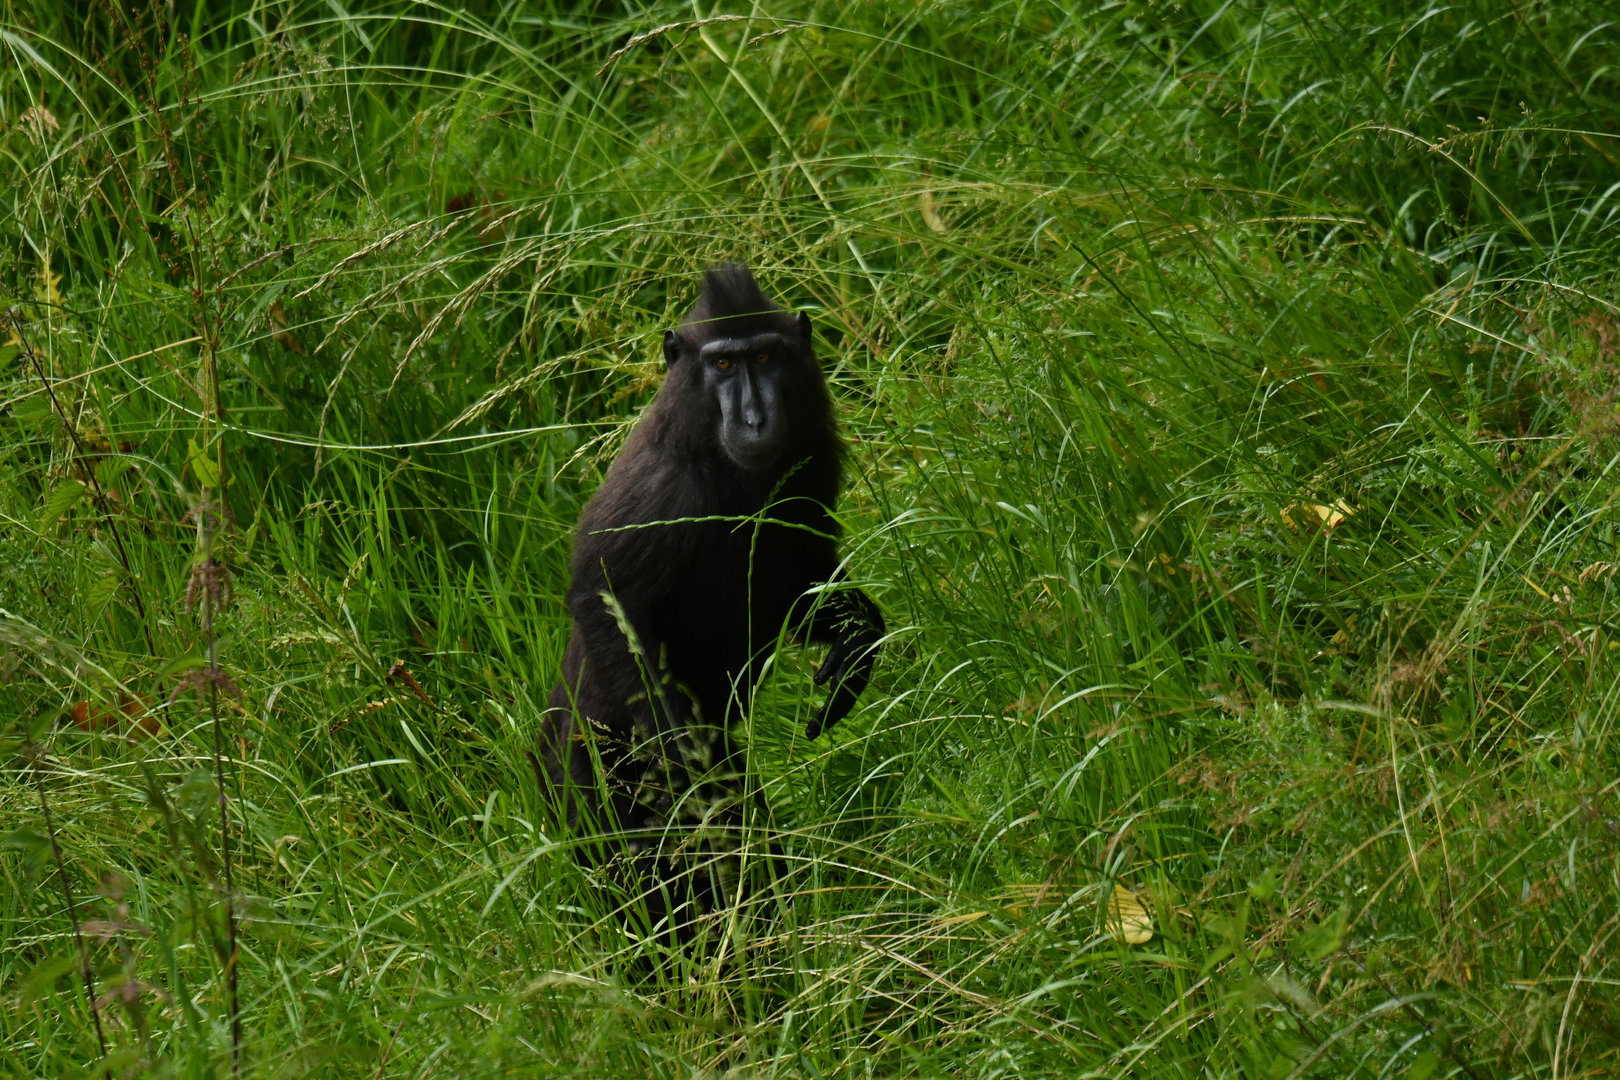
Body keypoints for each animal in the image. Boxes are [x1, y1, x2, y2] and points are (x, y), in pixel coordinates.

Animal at [537, 265, 884, 944]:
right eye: (723, 365)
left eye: (765, 357)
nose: (753, 419)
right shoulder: (661, 487)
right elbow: (605, 600)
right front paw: (692, 769)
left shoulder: (809, 466)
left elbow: (800, 580)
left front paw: (858, 639)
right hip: (591, 772)